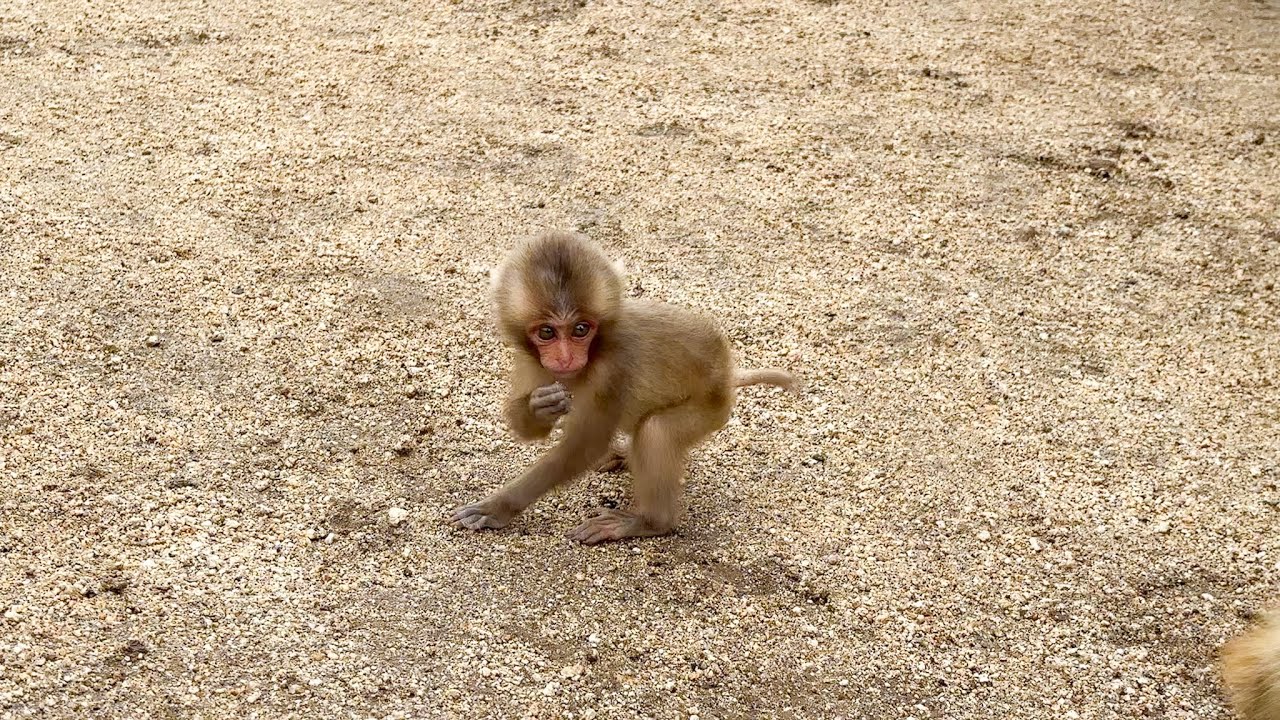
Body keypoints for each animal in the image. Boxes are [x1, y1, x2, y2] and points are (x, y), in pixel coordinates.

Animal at [450, 230, 796, 544]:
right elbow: (525, 423)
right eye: (547, 332)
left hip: (711, 406)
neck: (595, 350)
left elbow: (583, 447)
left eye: (580, 329)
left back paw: (650, 522)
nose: (565, 358)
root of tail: (727, 372)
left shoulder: (613, 368)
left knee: (656, 431)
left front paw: (498, 507)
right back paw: (626, 456)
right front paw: (539, 407)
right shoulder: (530, 360)